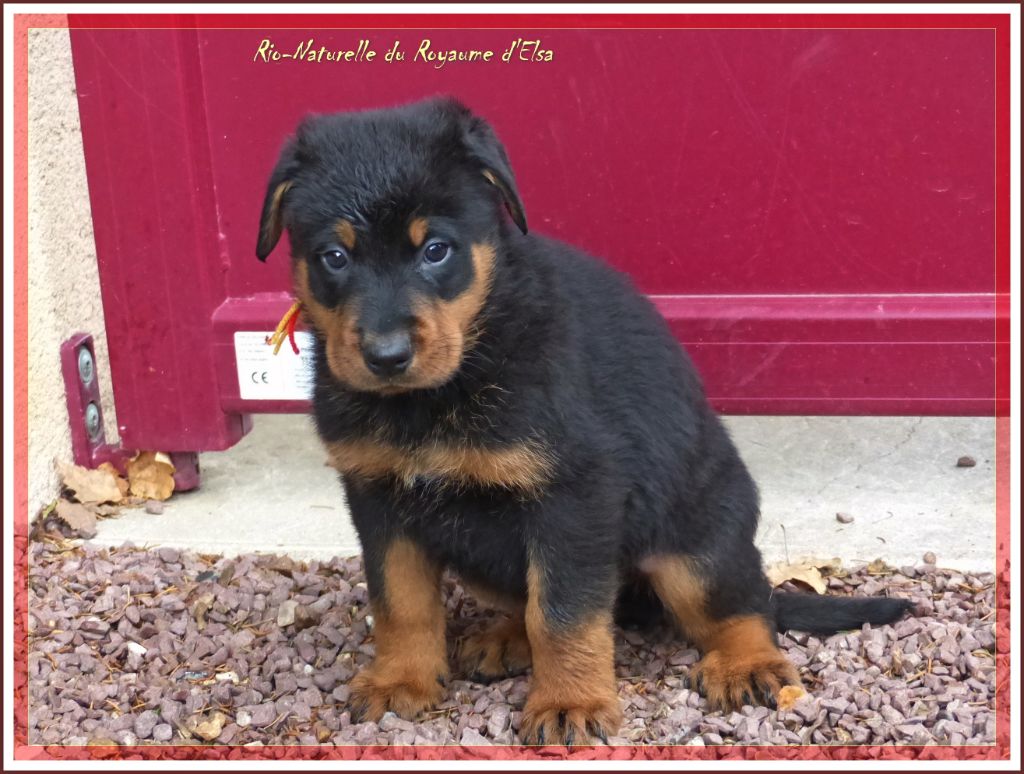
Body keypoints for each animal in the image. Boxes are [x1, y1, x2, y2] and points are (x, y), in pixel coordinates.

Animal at [255, 97, 912, 745]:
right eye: (335, 258)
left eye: (435, 250)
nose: (386, 357)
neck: (444, 387)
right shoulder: (379, 500)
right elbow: (401, 602)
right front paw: (401, 681)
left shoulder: (575, 494)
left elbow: (564, 612)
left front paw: (569, 703)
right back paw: (505, 640)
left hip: (694, 538)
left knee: (741, 601)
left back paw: (748, 663)